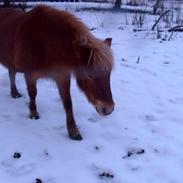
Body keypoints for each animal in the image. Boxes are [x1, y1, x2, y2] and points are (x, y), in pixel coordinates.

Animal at [0, 5, 114, 140]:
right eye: (90, 75)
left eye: (109, 74)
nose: (109, 109)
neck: (44, 42)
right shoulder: (30, 75)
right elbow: (33, 94)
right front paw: (33, 113)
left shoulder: (62, 76)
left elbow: (68, 102)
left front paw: (73, 131)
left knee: (11, 73)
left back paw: (15, 93)